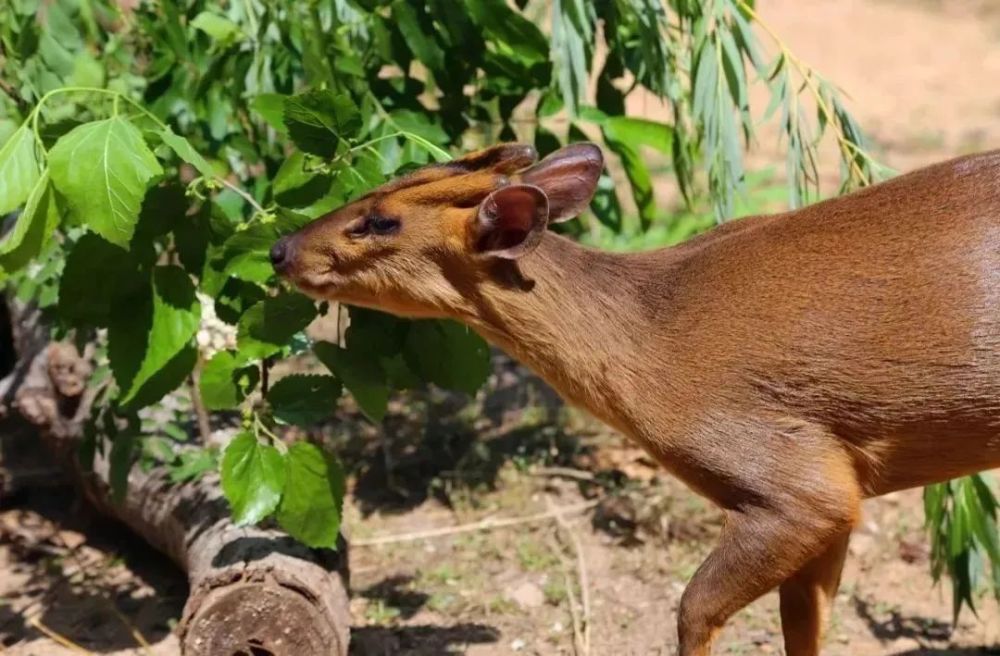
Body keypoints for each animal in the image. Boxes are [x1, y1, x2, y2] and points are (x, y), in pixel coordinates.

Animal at [270, 145, 1000, 656]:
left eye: (378, 221)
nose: (279, 248)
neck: (648, 343)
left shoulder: (799, 482)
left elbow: (693, 611)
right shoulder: (842, 490)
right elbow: (804, 625)